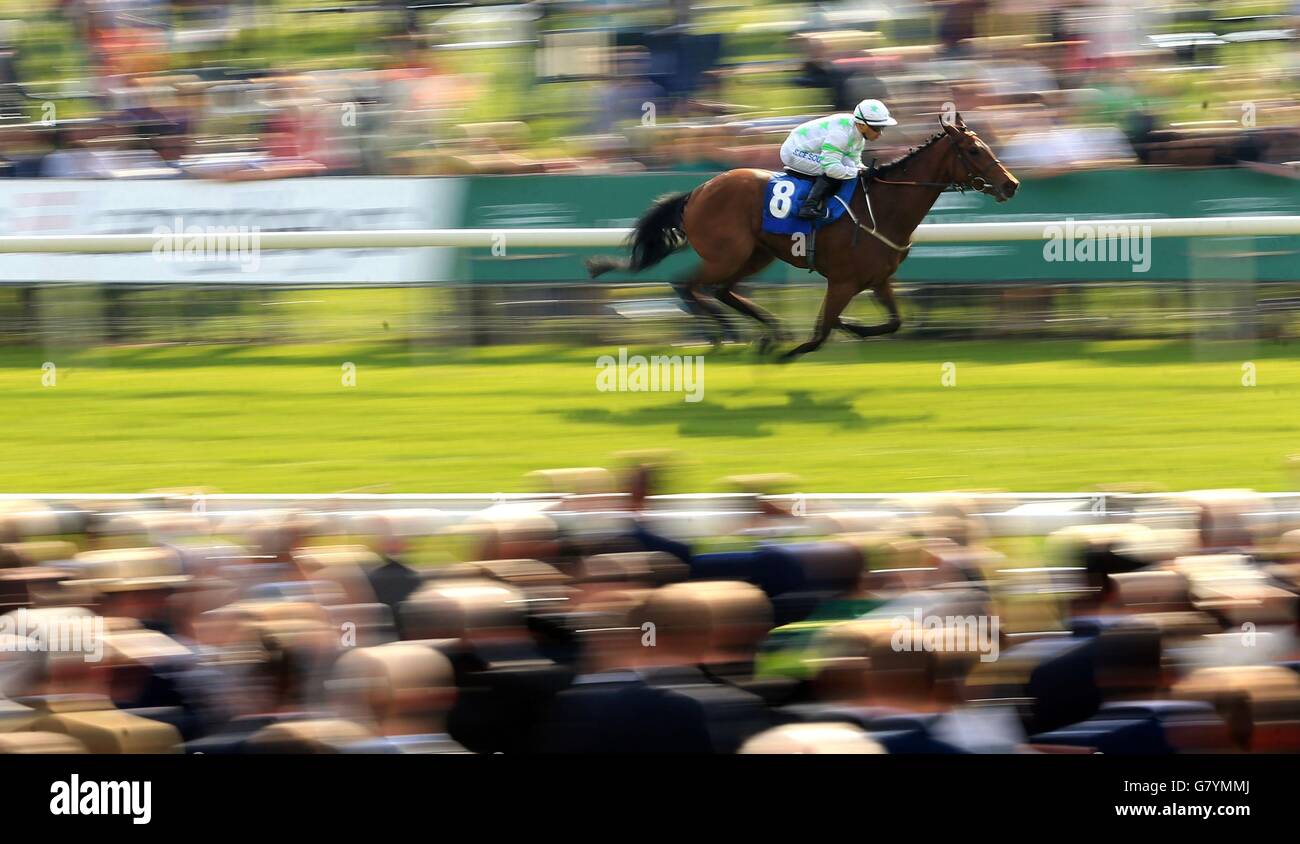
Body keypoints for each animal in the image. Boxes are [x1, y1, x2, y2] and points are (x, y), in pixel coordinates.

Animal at [585, 111, 1019, 358]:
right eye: (974, 151)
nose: (1011, 184)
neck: (884, 207)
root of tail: (698, 191)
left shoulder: (878, 279)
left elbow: (892, 322)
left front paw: (852, 327)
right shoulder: (843, 281)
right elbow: (820, 333)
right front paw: (800, 348)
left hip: (756, 254)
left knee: (722, 290)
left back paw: (768, 331)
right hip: (728, 253)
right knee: (687, 285)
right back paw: (727, 333)